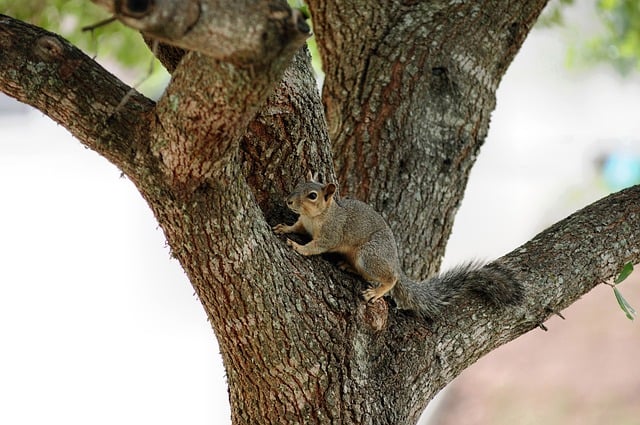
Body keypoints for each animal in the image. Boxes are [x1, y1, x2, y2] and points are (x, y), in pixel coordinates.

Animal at [273, 171, 523, 319]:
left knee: (390, 278)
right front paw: (283, 228)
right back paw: (348, 267)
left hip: (370, 254)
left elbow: (316, 246)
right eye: (298, 184)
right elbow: (296, 227)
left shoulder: (331, 234)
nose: (288, 200)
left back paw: (377, 290)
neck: (316, 217)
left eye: (312, 195)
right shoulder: (303, 224)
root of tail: (395, 262)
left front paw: (299, 248)